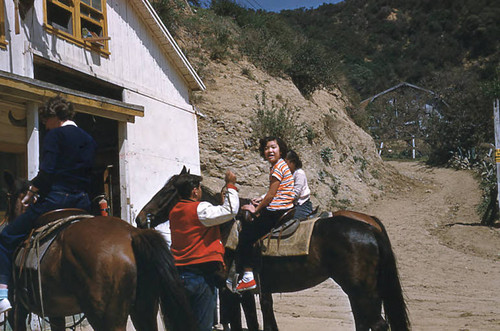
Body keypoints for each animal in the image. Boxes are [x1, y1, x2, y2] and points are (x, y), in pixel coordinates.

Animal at [2, 172, 196, 330]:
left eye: (8, 196)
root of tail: (132, 233)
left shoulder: (18, 310)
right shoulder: (55, 312)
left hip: (107, 319)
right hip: (144, 311)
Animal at [136, 171, 410, 331]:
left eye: (168, 190)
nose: (140, 218)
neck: (223, 228)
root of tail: (368, 227)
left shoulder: (235, 291)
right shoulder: (248, 292)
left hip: (361, 290)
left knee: (377, 324)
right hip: (360, 291)